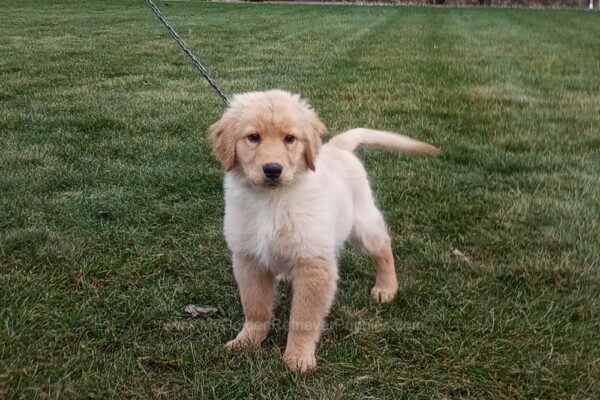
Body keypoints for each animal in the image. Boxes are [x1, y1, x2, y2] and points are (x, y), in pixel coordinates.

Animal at [211, 90, 440, 372]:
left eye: (290, 139)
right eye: (253, 137)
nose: (273, 169)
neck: (272, 201)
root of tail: (336, 147)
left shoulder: (314, 263)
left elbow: (303, 317)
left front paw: (298, 357)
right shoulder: (248, 258)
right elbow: (255, 308)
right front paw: (247, 340)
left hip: (362, 225)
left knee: (383, 246)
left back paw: (386, 287)